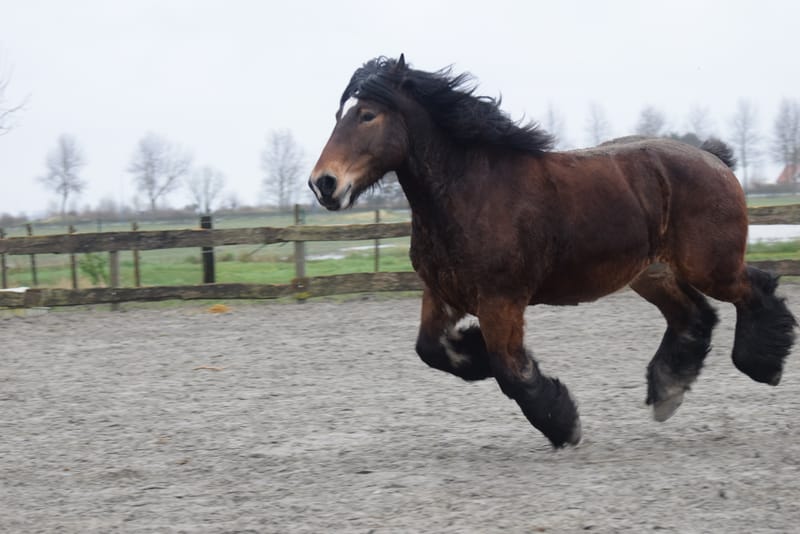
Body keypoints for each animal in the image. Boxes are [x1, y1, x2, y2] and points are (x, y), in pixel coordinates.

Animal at [308, 55, 796, 448]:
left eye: (367, 115)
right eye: (339, 115)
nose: (324, 184)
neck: (471, 192)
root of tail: (713, 159)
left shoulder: (502, 299)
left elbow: (511, 369)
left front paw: (565, 425)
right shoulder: (443, 294)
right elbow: (432, 349)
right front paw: (476, 355)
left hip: (710, 266)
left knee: (756, 290)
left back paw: (763, 366)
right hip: (651, 273)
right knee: (694, 316)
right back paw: (668, 391)